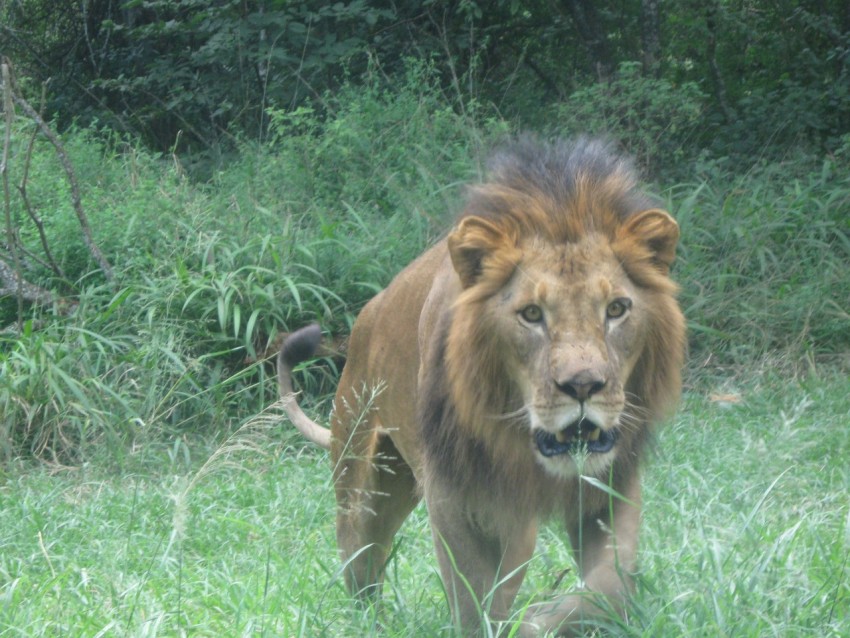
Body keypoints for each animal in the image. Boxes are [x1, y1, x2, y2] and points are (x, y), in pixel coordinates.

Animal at [278, 139, 688, 636]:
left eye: (616, 309)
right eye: (531, 314)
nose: (584, 386)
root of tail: (367, 317)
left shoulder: (611, 483)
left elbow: (609, 589)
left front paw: (538, 618)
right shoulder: (455, 496)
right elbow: (474, 597)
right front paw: (510, 622)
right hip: (364, 488)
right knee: (361, 567)